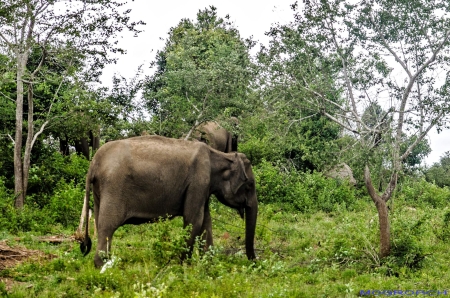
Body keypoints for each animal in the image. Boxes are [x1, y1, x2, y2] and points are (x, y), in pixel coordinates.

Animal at [80, 135, 256, 268]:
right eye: (250, 186)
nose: (254, 261)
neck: (219, 155)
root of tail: (93, 163)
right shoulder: (199, 181)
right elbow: (194, 220)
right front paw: (183, 266)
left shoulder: (202, 187)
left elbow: (206, 221)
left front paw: (207, 265)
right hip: (113, 187)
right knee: (107, 226)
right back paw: (103, 265)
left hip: (99, 191)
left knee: (100, 223)